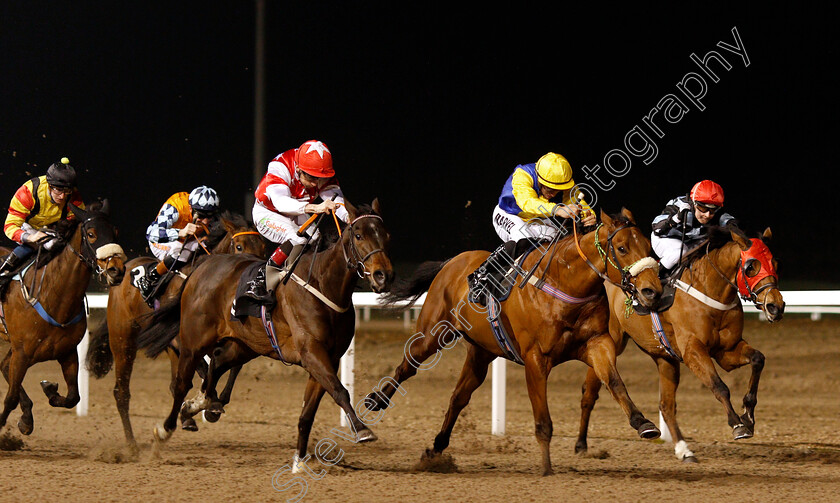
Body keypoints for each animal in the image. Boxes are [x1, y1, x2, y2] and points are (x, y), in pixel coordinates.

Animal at [0, 201, 125, 438]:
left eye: (115, 231)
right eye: (91, 234)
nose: (117, 270)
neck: (53, 296)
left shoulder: (67, 352)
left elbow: (72, 397)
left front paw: (48, 390)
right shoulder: (22, 353)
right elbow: (10, 397)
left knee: (4, 365)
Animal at [85, 211, 262, 454]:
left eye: (263, 246)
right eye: (239, 246)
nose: (253, 272)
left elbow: (231, 367)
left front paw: (211, 404)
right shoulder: (185, 338)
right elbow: (205, 368)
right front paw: (206, 402)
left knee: (174, 381)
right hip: (123, 341)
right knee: (121, 392)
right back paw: (132, 444)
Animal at [138, 200, 394, 468]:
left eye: (386, 235)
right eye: (359, 235)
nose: (383, 276)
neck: (323, 284)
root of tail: (200, 269)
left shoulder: (328, 358)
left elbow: (308, 412)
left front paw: (299, 461)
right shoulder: (312, 352)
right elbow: (340, 391)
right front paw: (362, 429)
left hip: (245, 345)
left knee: (217, 364)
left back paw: (202, 405)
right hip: (193, 340)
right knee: (181, 384)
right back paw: (166, 428)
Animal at [370, 210, 668, 476]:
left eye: (647, 246)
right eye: (621, 248)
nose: (651, 291)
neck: (564, 283)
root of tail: (452, 262)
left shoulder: (597, 343)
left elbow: (615, 382)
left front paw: (644, 423)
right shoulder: (535, 358)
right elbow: (543, 419)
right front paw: (547, 469)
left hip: (480, 353)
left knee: (458, 397)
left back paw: (436, 449)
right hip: (433, 333)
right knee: (407, 366)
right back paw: (376, 400)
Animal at [576, 226, 784, 462]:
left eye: (775, 264)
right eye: (750, 267)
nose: (776, 306)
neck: (709, 290)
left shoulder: (727, 351)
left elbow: (758, 359)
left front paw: (748, 416)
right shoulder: (693, 351)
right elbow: (719, 386)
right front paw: (738, 424)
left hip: (665, 359)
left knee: (666, 406)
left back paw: (684, 450)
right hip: (609, 342)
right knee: (590, 393)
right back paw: (581, 444)